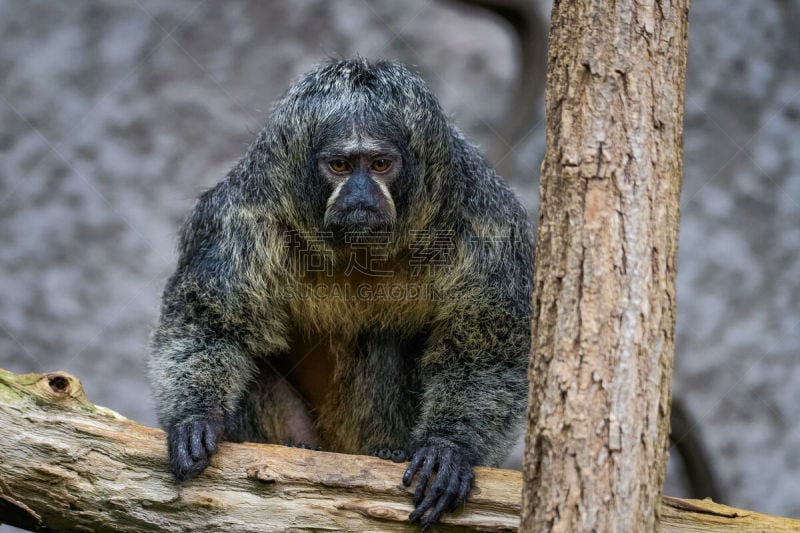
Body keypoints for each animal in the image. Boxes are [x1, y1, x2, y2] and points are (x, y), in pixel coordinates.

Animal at [151, 59, 536, 528]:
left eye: (380, 164)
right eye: (339, 165)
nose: (359, 195)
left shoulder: (489, 224)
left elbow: (487, 350)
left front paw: (451, 446)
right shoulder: (236, 218)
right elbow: (210, 322)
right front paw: (195, 418)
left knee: (387, 341)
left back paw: (385, 451)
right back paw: (297, 448)